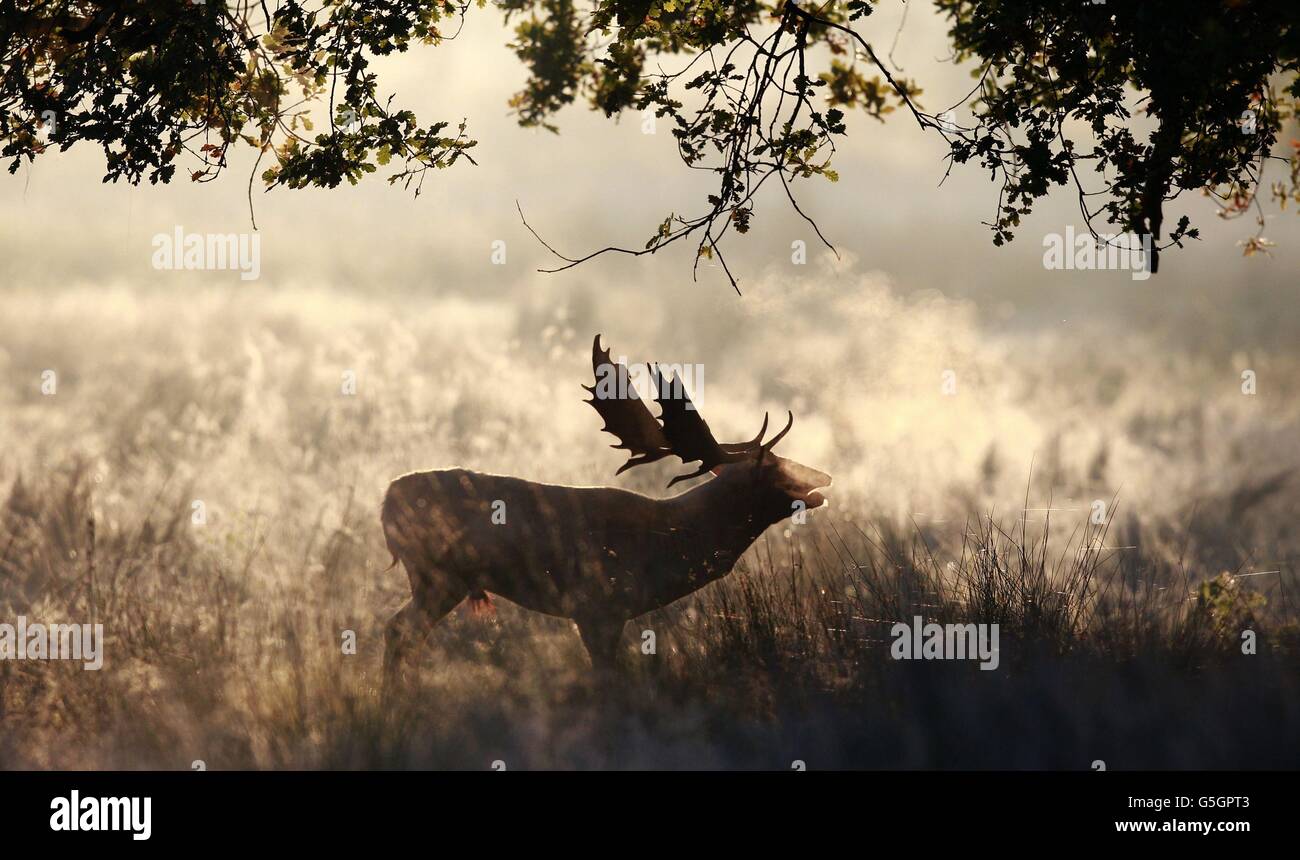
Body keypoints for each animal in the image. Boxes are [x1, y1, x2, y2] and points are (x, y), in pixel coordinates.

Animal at [379, 332, 832, 685]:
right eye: (775, 468)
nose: (824, 479)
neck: (670, 546)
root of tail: (386, 502)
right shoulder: (598, 605)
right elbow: (605, 675)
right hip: (439, 574)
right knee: (400, 630)